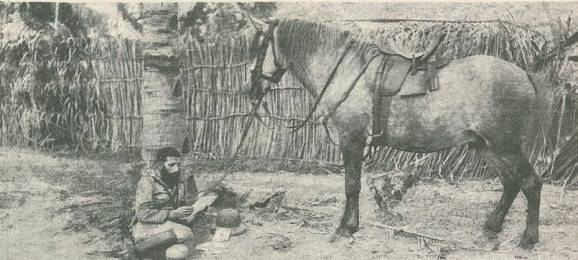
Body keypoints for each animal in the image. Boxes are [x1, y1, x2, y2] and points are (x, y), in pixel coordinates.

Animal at [249, 18, 576, 248]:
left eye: (259, 48)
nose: (251, 90)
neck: (345, 71)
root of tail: (525, 75)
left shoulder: (351, 140)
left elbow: (351, 186)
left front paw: (345, 229)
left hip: (503, 145)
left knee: (530, 183)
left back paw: (528, 239)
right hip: (485, 145)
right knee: (511, 183)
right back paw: (491, 228)